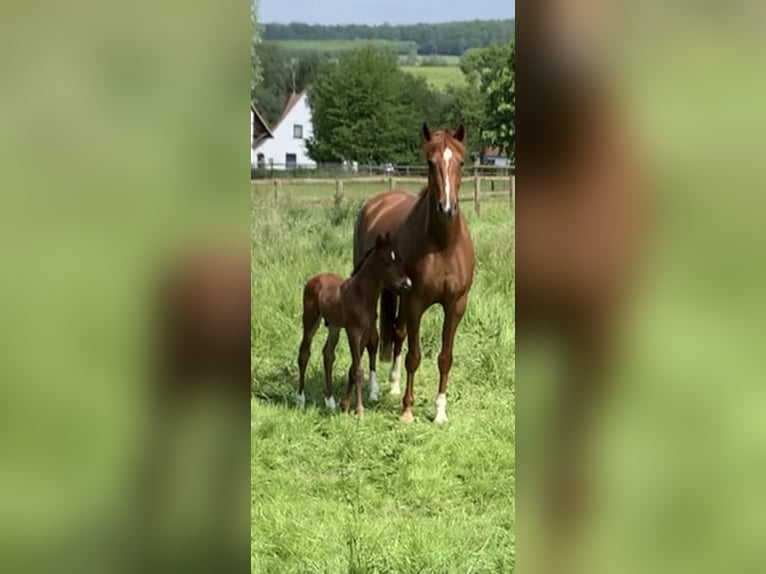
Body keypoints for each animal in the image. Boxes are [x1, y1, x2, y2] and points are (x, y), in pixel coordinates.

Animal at [296, 232, 414, 416]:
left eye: (400, 260)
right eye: (387, 263)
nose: (407, 284)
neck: (361, 294)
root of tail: (313, 279)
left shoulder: (365, 331)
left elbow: (353, 368)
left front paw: (344, 405)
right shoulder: (353, 330)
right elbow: (358, 369)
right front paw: (359, 410)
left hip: (335, 326)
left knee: (328, 355)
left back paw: (330, 401)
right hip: (310, 319)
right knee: (304, 353)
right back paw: (301, 399)